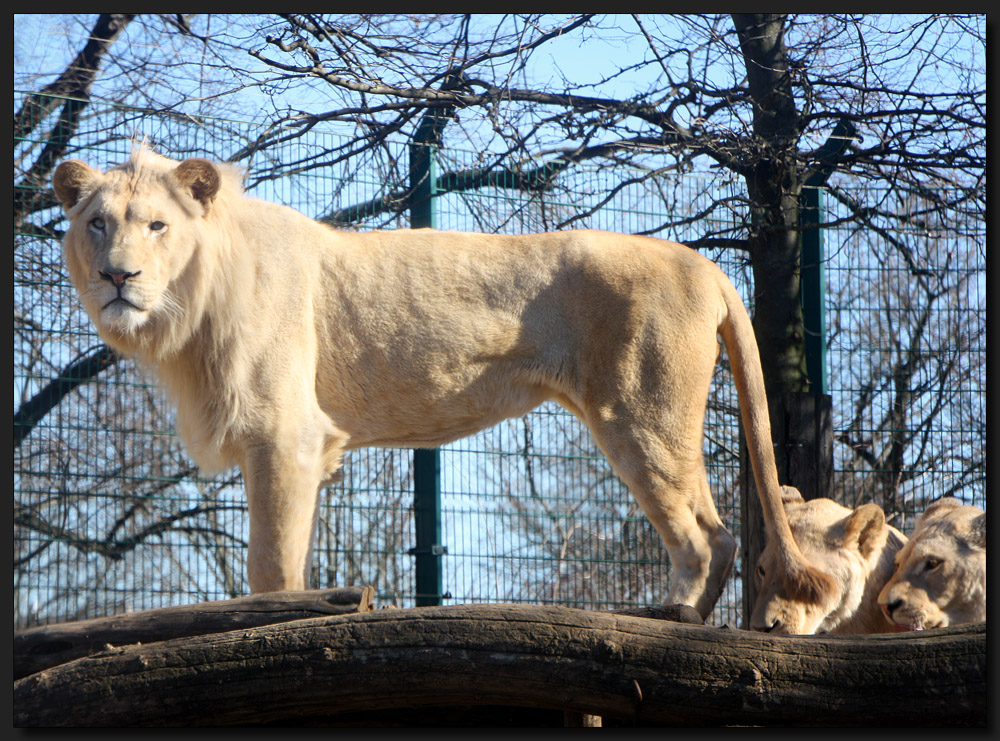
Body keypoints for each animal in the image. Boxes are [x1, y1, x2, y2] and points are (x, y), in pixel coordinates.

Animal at [50, 147, 832, 616]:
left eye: (156, 225)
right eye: (97, 225)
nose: (118, 275)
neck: (186, 313)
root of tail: (705, 264)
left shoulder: (285, 435)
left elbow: (272, 565)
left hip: (642, 417)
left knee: (707, 538)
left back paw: (676, 619)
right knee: (715, 534)